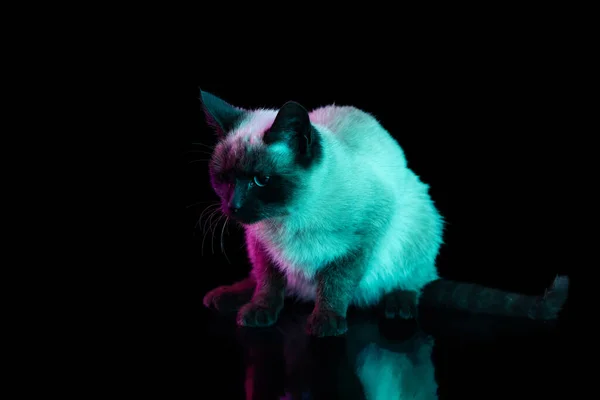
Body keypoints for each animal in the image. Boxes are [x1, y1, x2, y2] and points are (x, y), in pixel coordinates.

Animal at [199, 89, 568, 336]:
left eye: (261, 180)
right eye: (224, 179)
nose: (233, 206)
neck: (286, 222)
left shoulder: (362, 237)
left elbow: (335, 283)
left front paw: (326, 322)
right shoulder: (260, 245)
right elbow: (269, 282)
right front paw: (260, 310)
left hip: (415, 226)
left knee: (414, 282)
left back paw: (398, 305)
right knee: (266, 282)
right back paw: (225, 297)